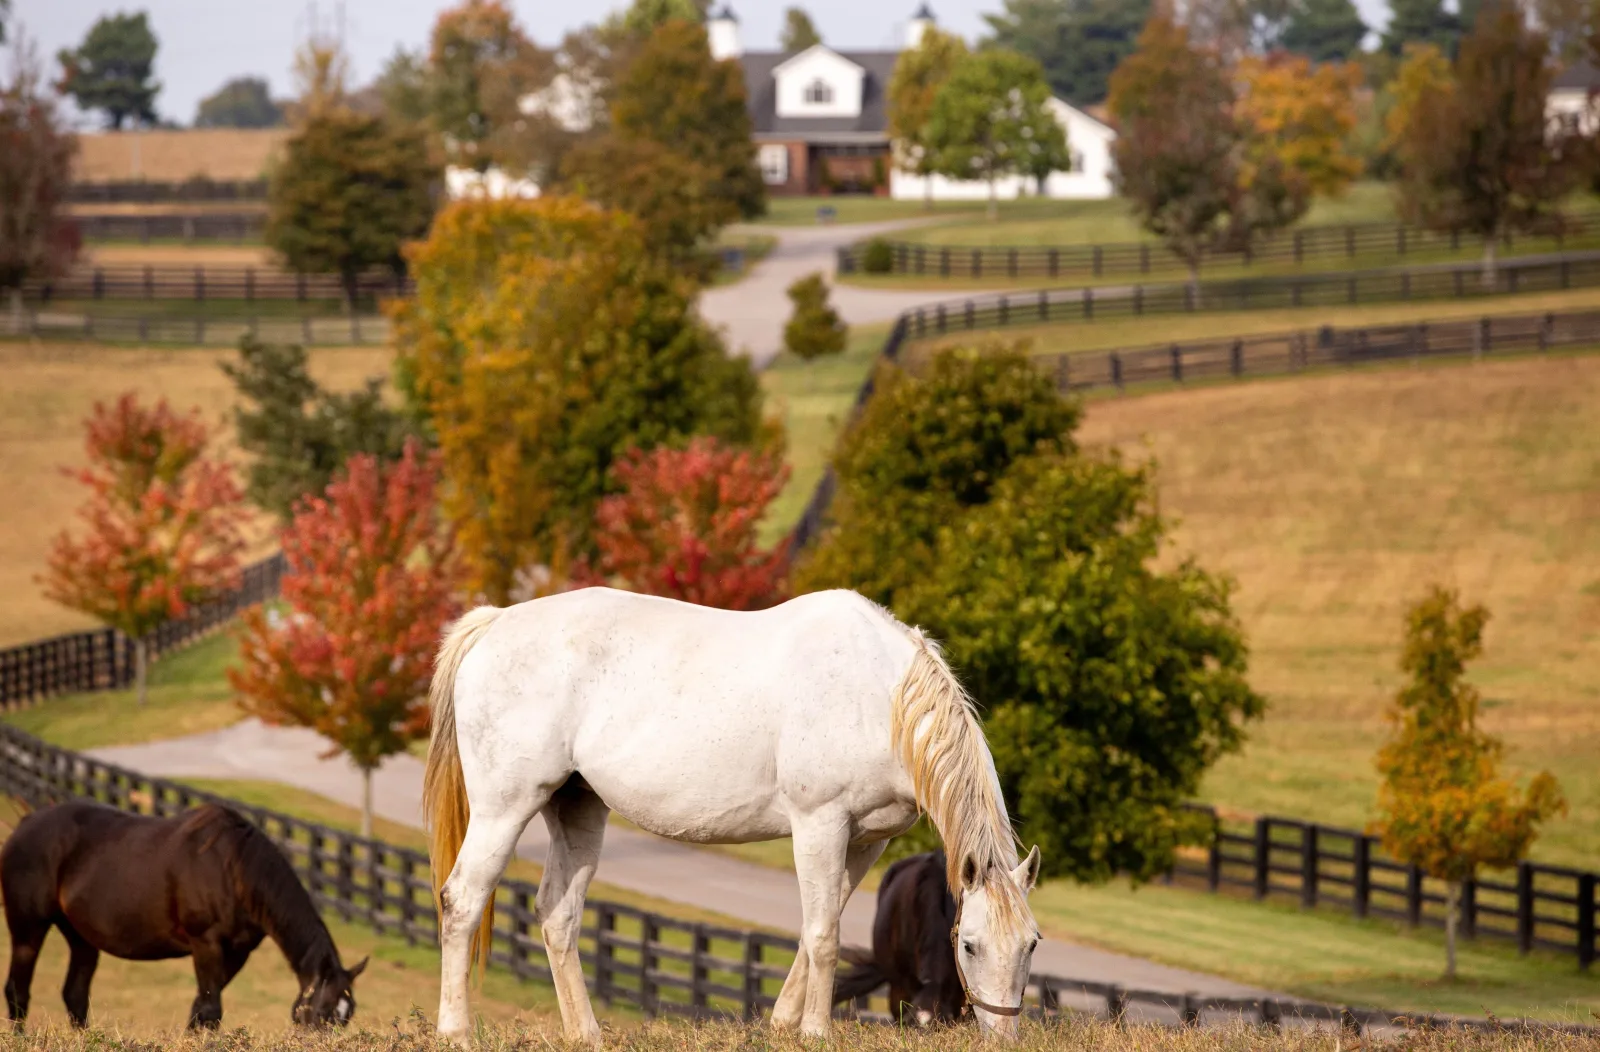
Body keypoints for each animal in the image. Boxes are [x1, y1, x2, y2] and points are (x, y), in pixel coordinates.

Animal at [1, 800, 366, 1031]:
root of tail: (25, 824)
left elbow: (200, 1012)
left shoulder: (236, 953)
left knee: (75, 995)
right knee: (18, 993)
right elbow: (210, 1010)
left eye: (346, 1017)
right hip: (28, 929)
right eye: (320, 1015)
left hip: (80, 936)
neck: (234, 869)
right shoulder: (205, 944)